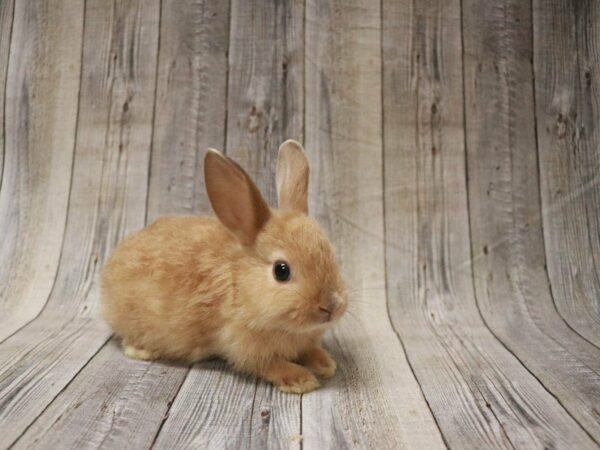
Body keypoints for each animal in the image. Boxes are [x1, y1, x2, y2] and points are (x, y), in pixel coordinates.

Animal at [101, 139, 350, 392]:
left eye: (331, 254)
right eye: (281, 270)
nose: (331, 306)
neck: (239, 288)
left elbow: (310, 350)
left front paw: (326, 364)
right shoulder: (244, 346)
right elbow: (270, 365)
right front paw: (301, 380)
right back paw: (142, 351)